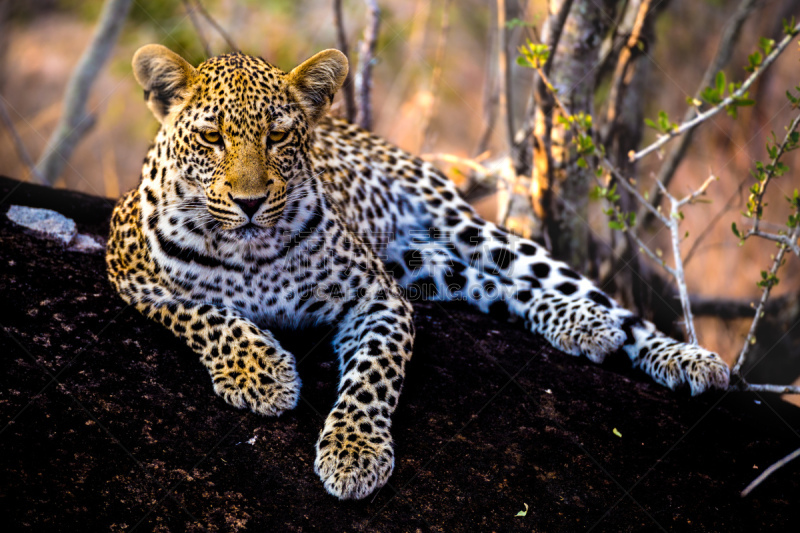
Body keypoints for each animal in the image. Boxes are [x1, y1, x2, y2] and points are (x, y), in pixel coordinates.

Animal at [106, 43, 732, 500]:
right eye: (212, 137)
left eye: (278, 136)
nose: (252, 202)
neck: (250, 252)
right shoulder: (130, 271)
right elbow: (204, 314)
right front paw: (261, 374)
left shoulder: (375, 300)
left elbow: (371, 379)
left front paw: (354, 454)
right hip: (419, 264)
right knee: (503, 288)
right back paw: (581, 327)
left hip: (463, 230)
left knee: (586, 296)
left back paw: (675, 355)